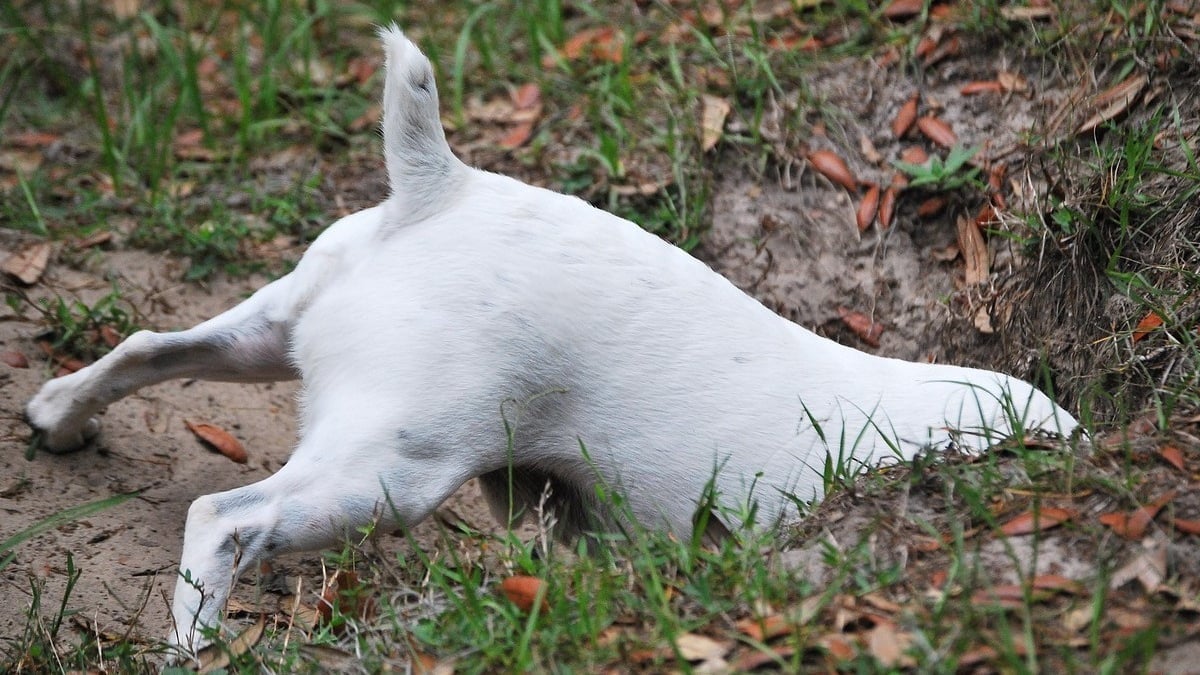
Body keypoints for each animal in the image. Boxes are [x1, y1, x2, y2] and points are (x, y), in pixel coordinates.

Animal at [25, 27, 1080, 653]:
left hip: (270, 338)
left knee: (146, 348)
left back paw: (59, 418)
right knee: (225, 517)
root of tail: (443, 187)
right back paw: (192, 646)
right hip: (390, 471)